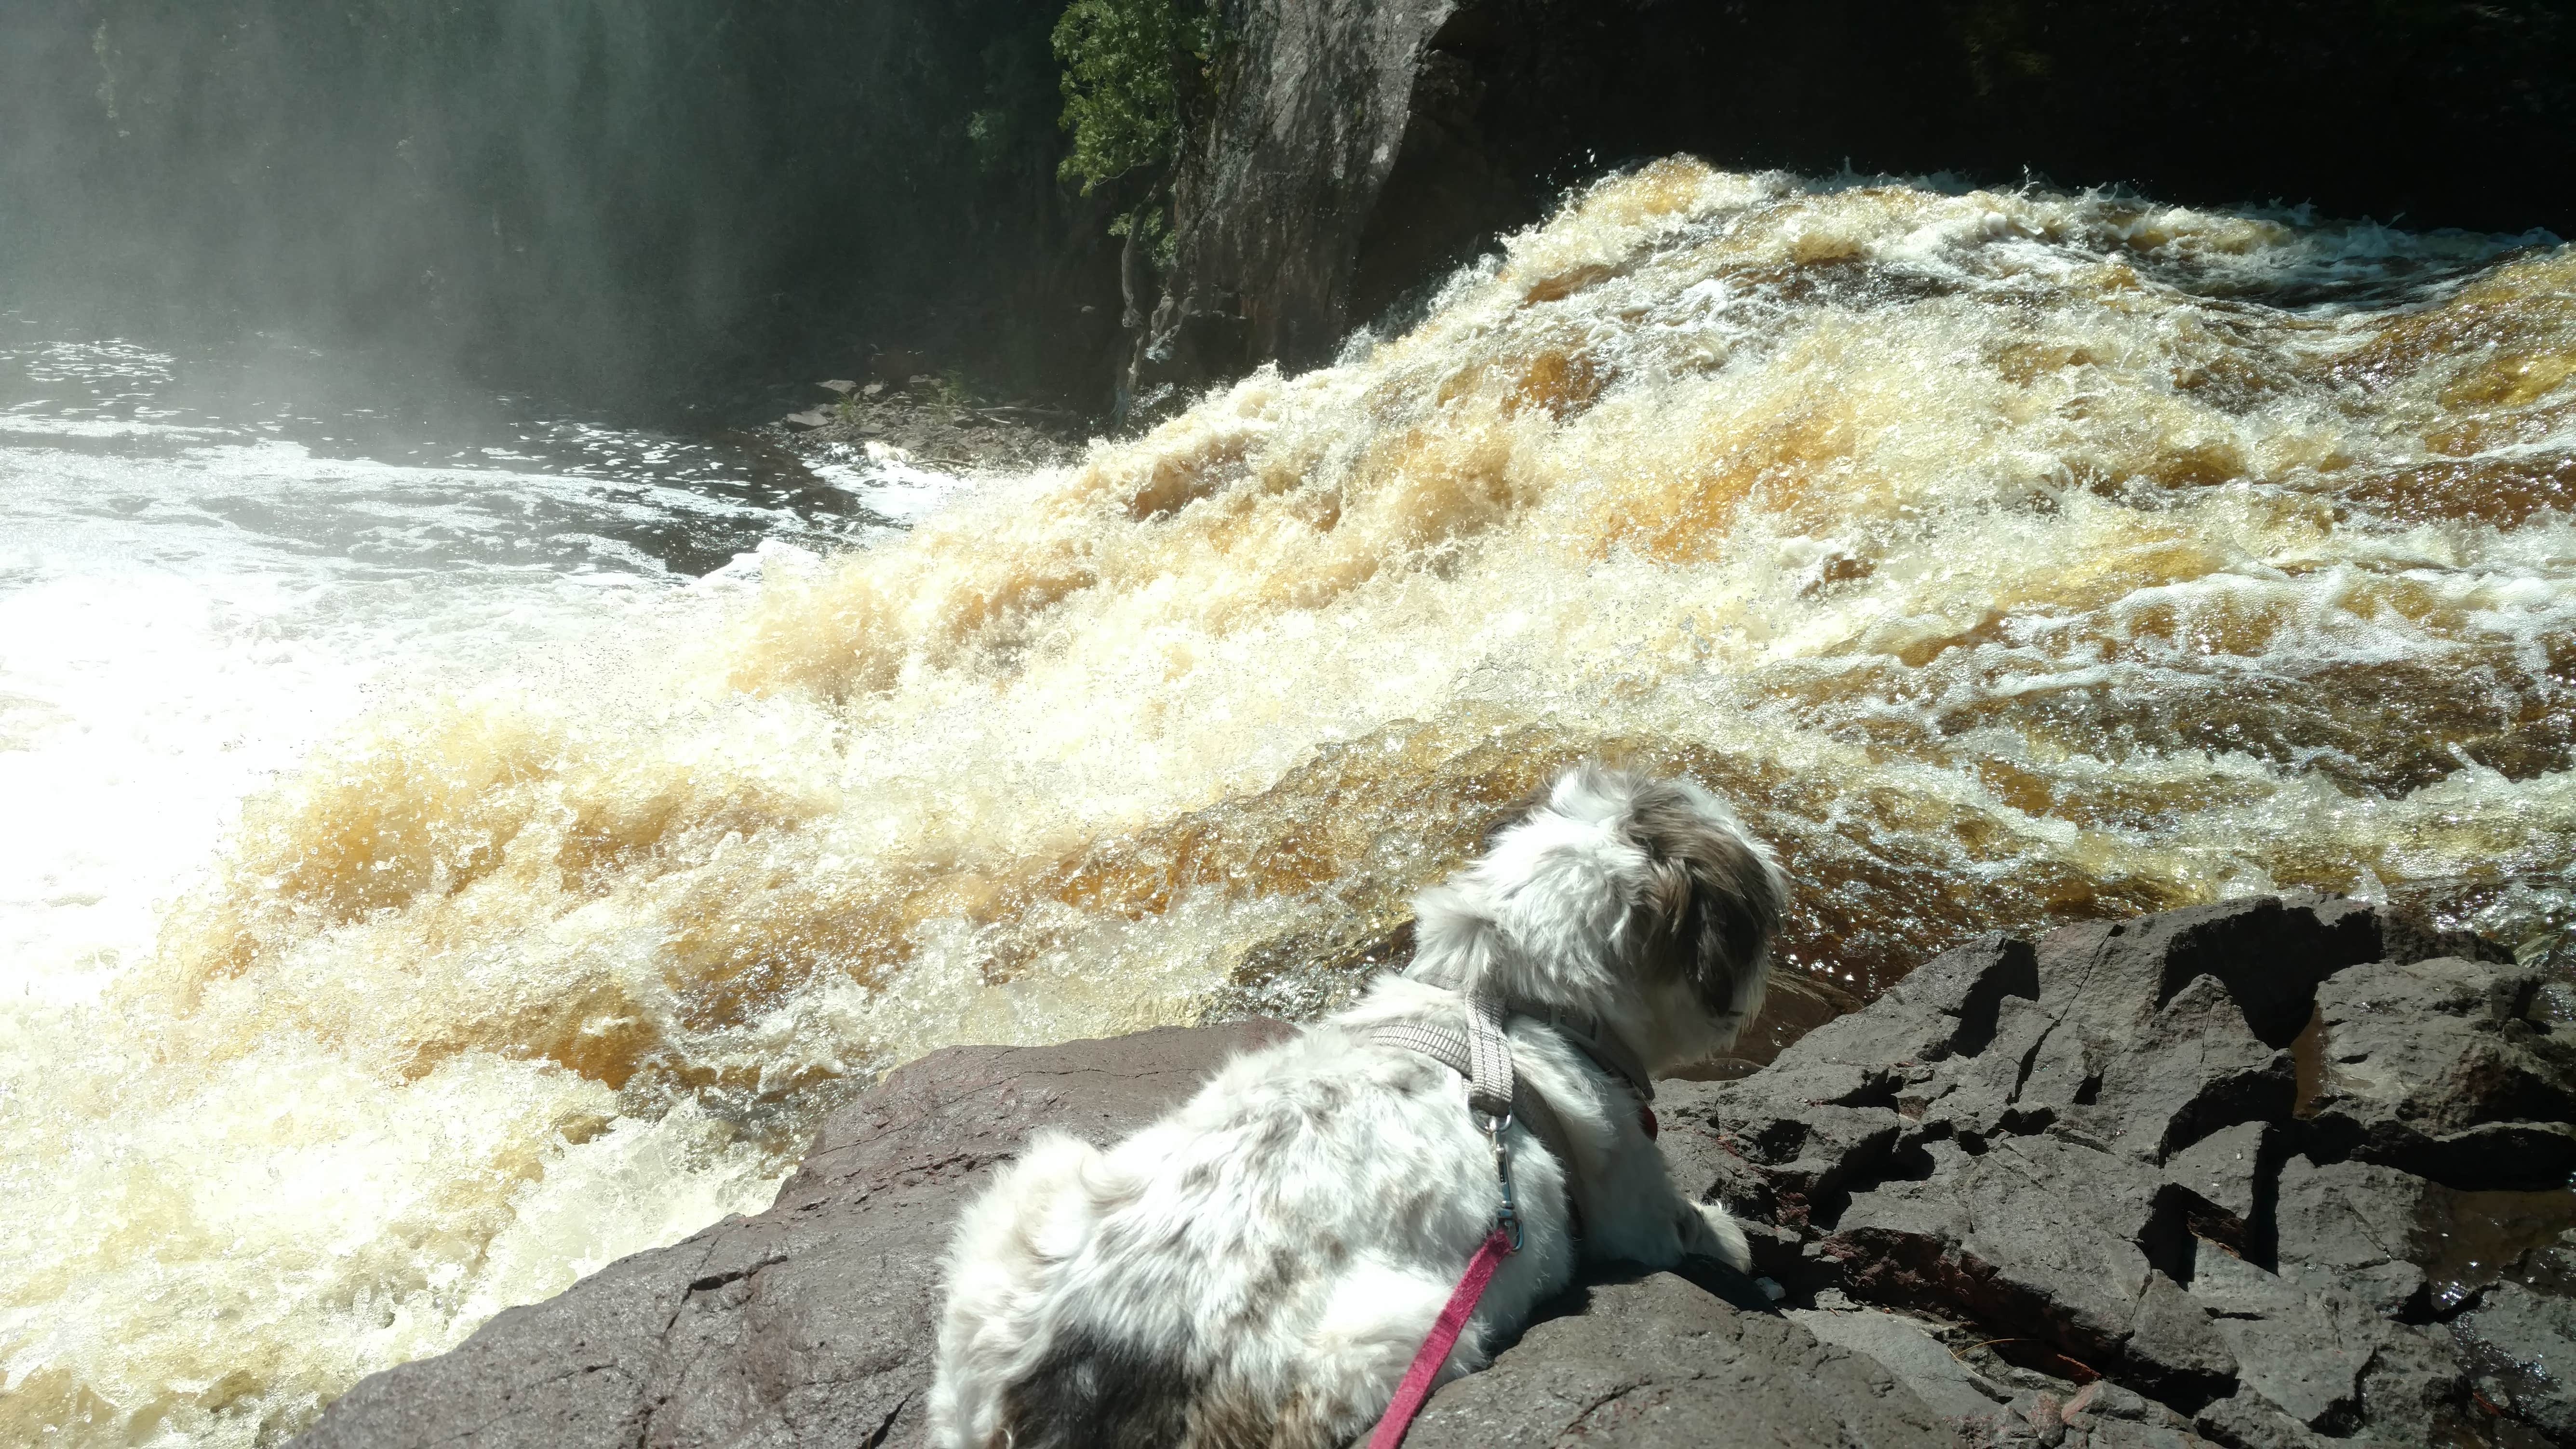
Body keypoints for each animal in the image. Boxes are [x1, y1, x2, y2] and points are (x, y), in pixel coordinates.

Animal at [927, 763, 1793, 1433]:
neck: (1505, 1004)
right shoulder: (1633, 1200)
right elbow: (1692, 1229)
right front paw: (1735, 1238)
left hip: (1021, 1201)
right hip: (1397, 1340)